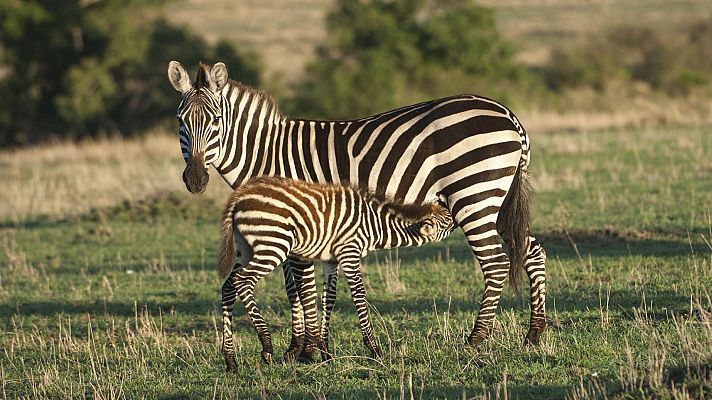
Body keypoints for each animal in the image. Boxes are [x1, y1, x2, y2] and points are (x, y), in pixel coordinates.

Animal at [217, 177, 454, 370]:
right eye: (449, 220)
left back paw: (230, 359)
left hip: (246, 249)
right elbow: (359, 296)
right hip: (273, 245)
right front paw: (374, 350)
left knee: (228, 286)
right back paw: (266, 346)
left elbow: (328, 299)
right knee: (242, 281)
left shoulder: (331, 259)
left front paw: (326, 353)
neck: (374, 225)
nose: (447, 198)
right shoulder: (349, 252)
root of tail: (238, 197)